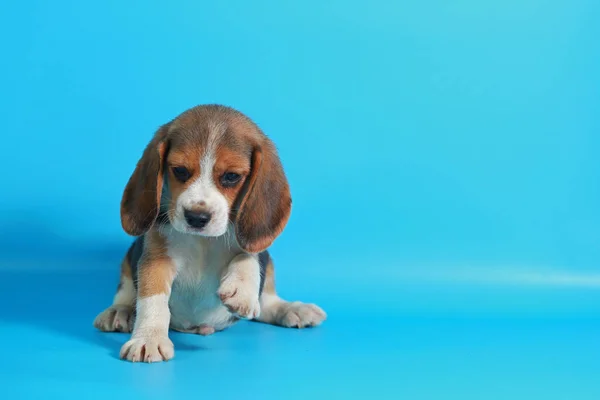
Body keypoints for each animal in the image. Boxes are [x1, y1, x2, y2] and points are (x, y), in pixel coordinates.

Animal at [94, 104, 326, 360]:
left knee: (268, 302)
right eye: (180, 171)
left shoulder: (256, 246)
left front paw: (242, 290)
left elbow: (248, 256)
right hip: (129, 255)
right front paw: (149, 338)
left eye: (231, 176)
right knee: (126, 288)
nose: (196, 217)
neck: (203, 241)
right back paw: (120, 311)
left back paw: (291, 308)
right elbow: (152, 299)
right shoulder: (156, 258)